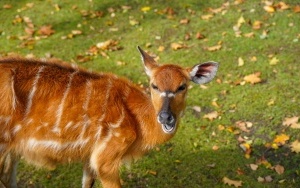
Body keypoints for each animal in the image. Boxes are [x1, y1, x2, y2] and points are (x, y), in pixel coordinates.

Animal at [0, 46, 218, 188]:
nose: (166, 117)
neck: (136, 120)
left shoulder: (90, 156)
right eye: (154, 85)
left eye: (182, 86)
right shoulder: (106, 158)